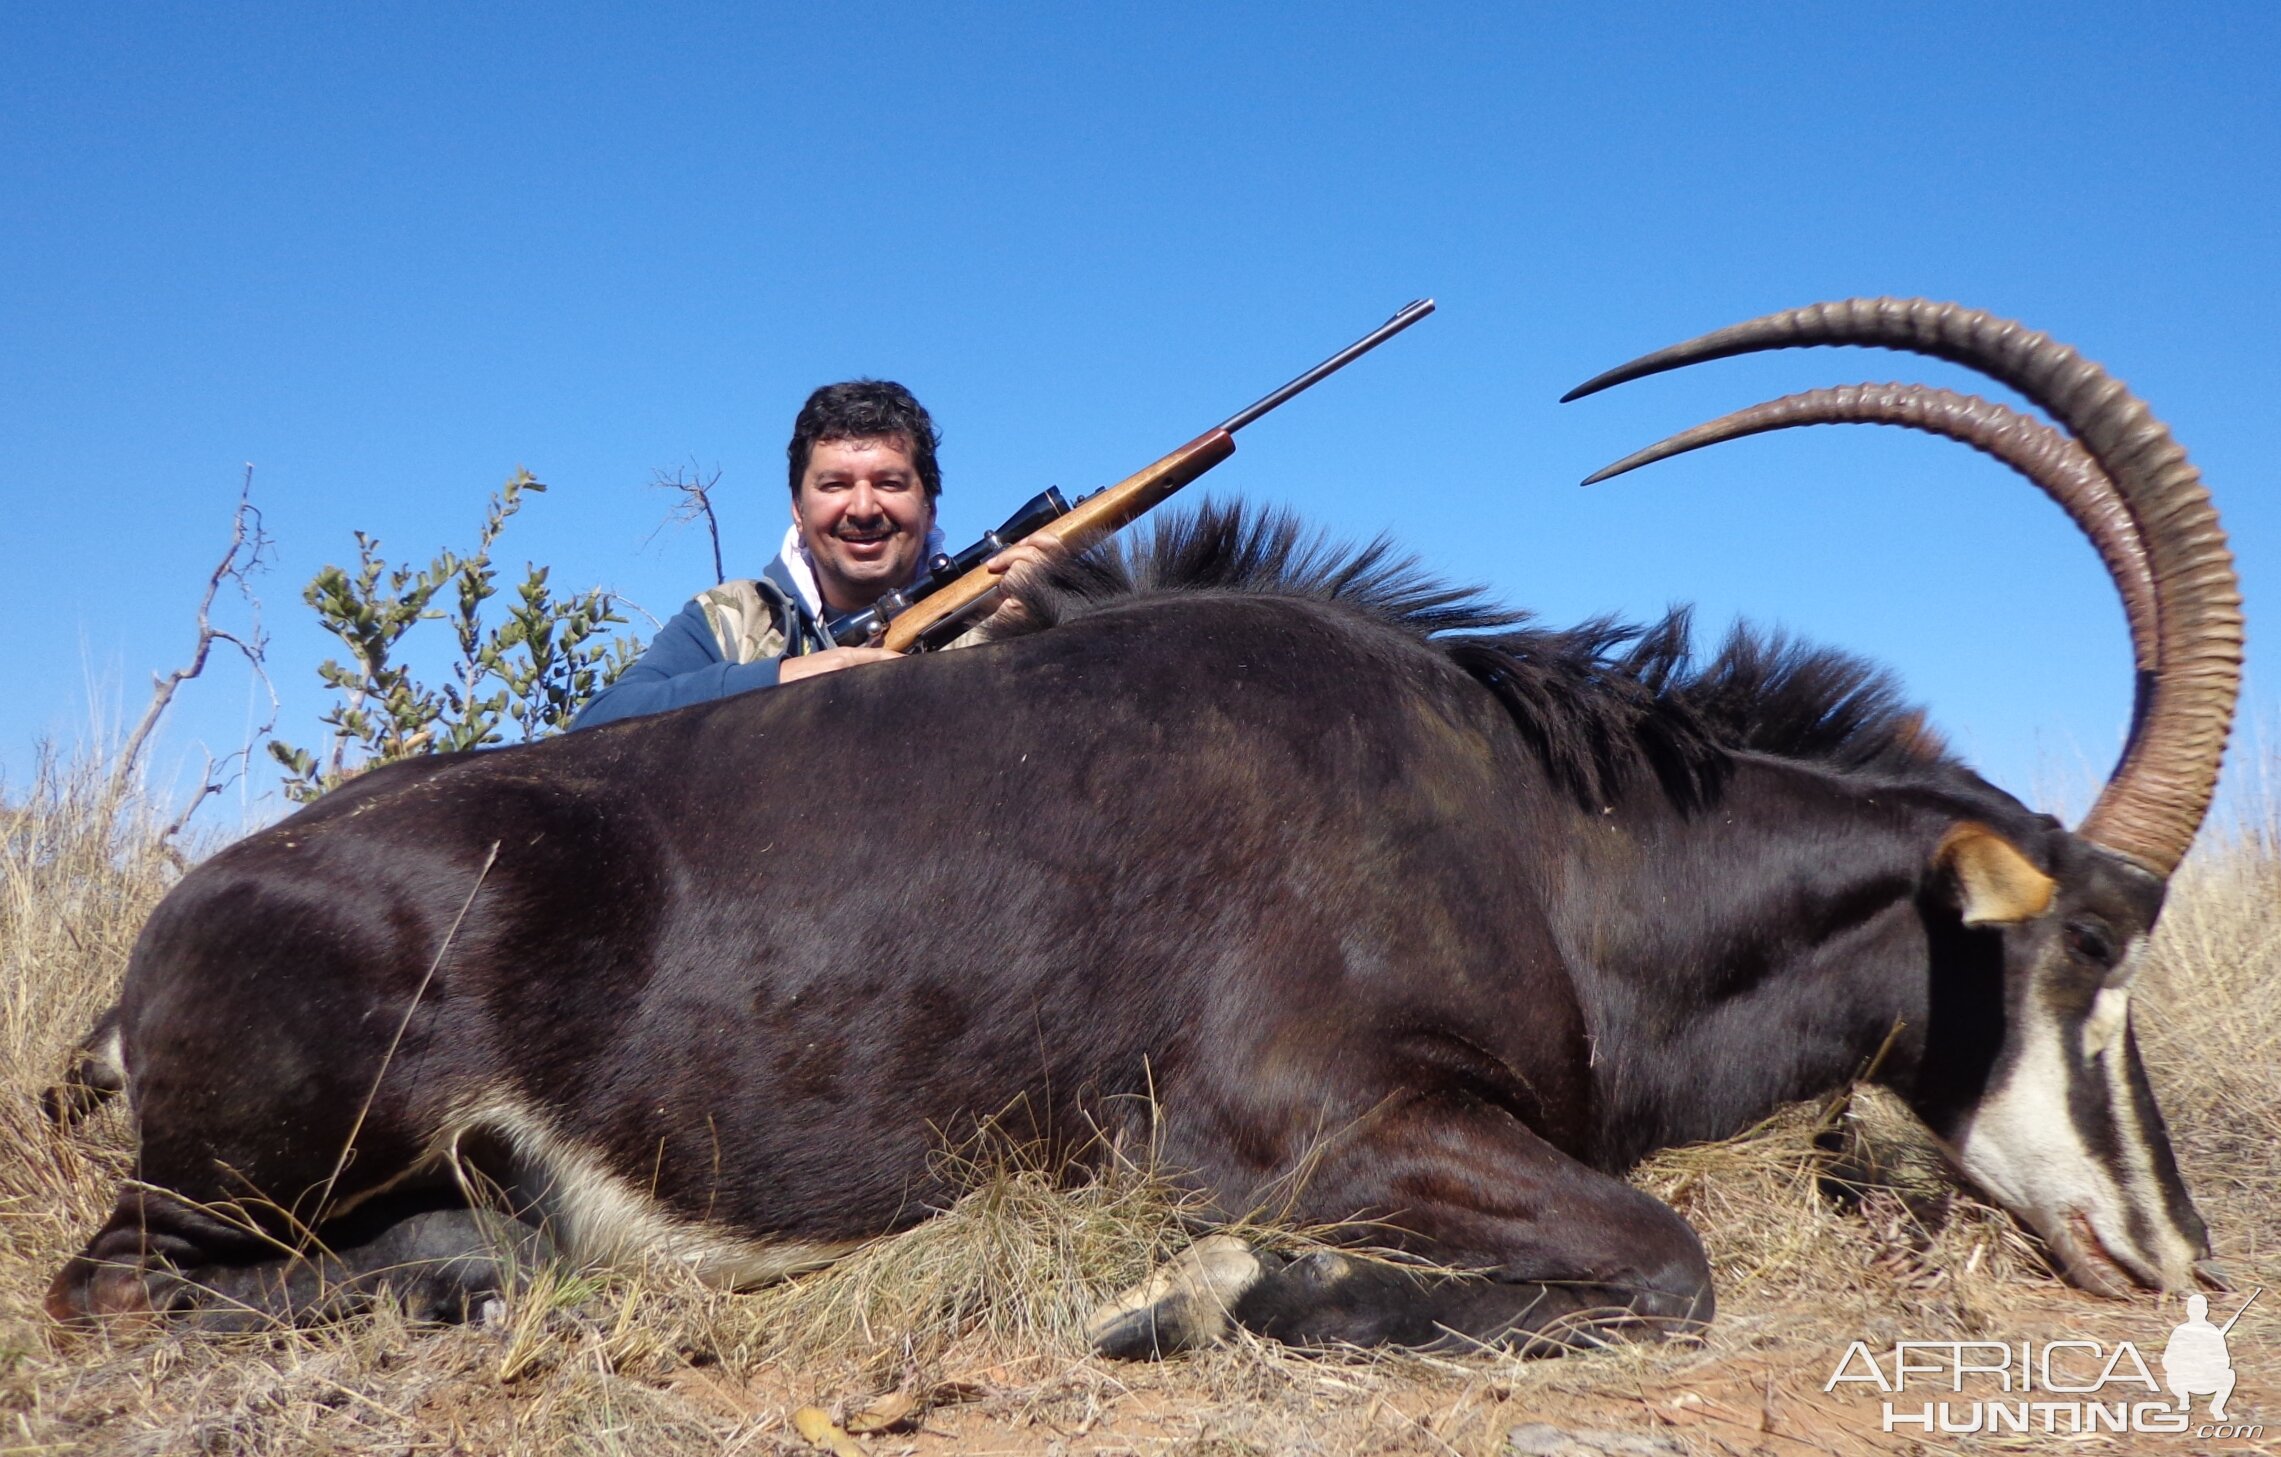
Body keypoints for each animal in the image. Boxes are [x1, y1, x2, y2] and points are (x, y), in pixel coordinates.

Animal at [49, 300, 2244, 1358]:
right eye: (2077, 951)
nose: (2178, 1255)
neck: (1528, 823)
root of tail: (164, 948)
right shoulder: (1312, 1125)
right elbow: (1664, 1249)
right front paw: (1199, 1299)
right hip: (274, 1166)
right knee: (126, 1283)